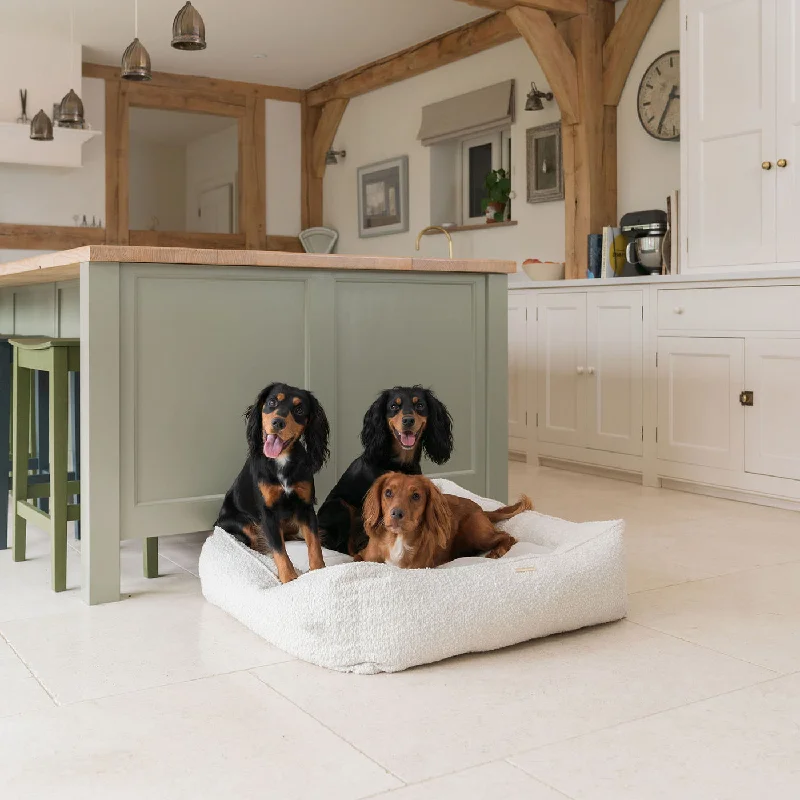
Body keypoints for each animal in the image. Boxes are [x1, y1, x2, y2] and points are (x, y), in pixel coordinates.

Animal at [214, 382, 330, 580]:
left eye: (299, 409)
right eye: (272, 402)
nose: (278, 422)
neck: (281, 460)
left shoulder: (306, 507)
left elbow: (314, 544)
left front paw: (318, 572)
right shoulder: (267, 513)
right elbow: (279, 550)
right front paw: (289, 579)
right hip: (244, 526)